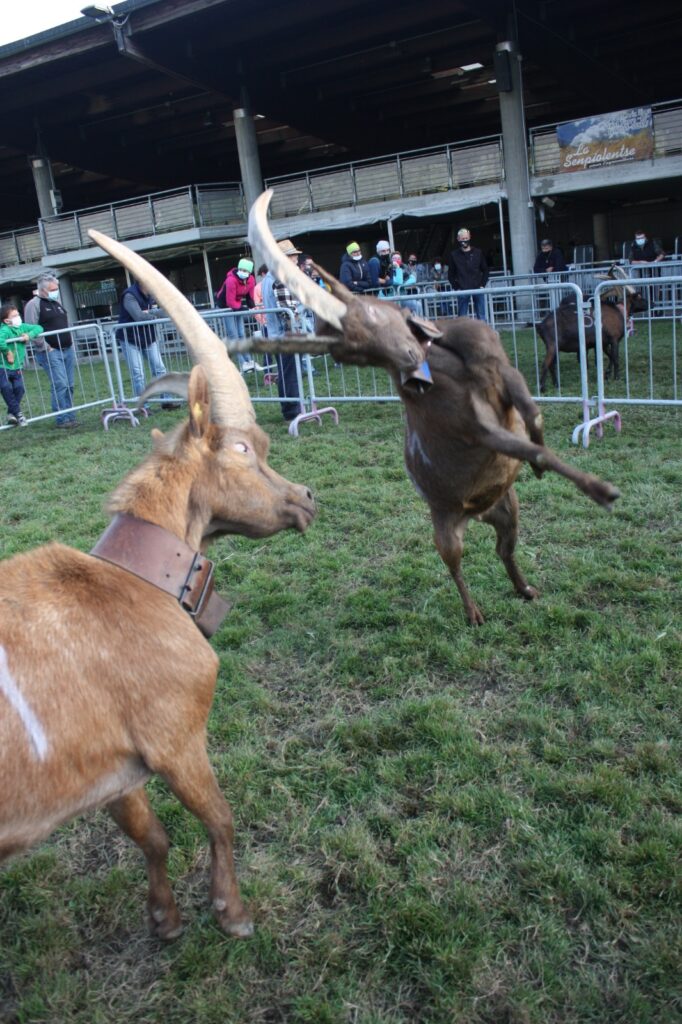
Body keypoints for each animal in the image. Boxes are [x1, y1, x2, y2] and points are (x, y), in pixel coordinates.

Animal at [0, 230, 313, 937]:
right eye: (245, 448)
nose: (306, 498)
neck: (132, 579)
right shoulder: (175, 735)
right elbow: (219, 816)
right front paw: (232, 914)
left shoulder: (114, 774)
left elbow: (152, 836)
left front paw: (165, 920)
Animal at [248, 190, 614, 622]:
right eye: (345, 352)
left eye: (366, 313)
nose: (408, 363)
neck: (449, 362)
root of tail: (476, 513)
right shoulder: (475, 427)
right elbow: (528, 447)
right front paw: (600, 489)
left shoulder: (504, 373)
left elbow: (533, 415)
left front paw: (560, 467)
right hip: (447, 526)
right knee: (456, 564)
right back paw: (474, 612)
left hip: (510, 508)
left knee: (503, 550)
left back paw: (525, 589)